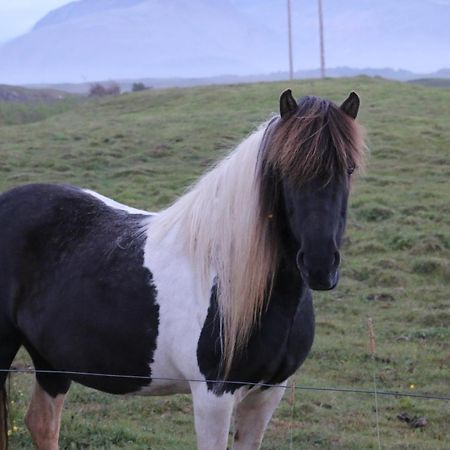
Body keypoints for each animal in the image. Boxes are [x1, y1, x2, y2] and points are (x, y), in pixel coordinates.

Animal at [0, 89, 366, 448]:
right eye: (284, 169)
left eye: (349, 169)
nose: (320, 265)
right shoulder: (213, 397)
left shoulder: (269, 392)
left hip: (50, 360)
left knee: (42, 424)